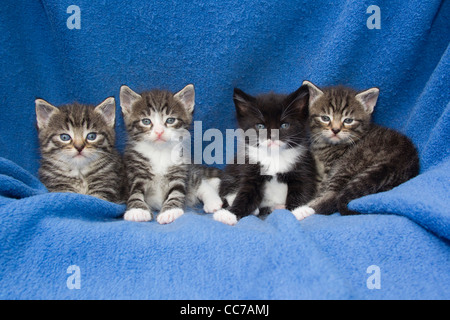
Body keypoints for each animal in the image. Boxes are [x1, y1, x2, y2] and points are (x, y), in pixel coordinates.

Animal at [121, 84, 223, 224]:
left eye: (170, 120)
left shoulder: (179, 170)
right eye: (146, 121)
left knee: (199, 181)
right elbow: (134, 192)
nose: (159, 131)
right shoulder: (134, 172)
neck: (158, 152)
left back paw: (213, 200)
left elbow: (177, 191)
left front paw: (170, 211)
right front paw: (137, 210)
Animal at [214, 84, 316, 226]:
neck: (273, 156)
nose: (272, 137)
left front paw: (299, 209)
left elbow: (302, 187)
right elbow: (246, 193)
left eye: (284, 125)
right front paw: (230, 214)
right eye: (260, 126)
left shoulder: (303, 165)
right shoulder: (249, 167)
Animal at [292, 80, 418, 220]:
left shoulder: (331, 169)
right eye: (325, 118)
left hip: (349, 164)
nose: (335, 130)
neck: (326, 145)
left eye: (348, 120)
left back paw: (301, 211)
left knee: (333, 196)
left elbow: (323, 190)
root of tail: (403, 158)